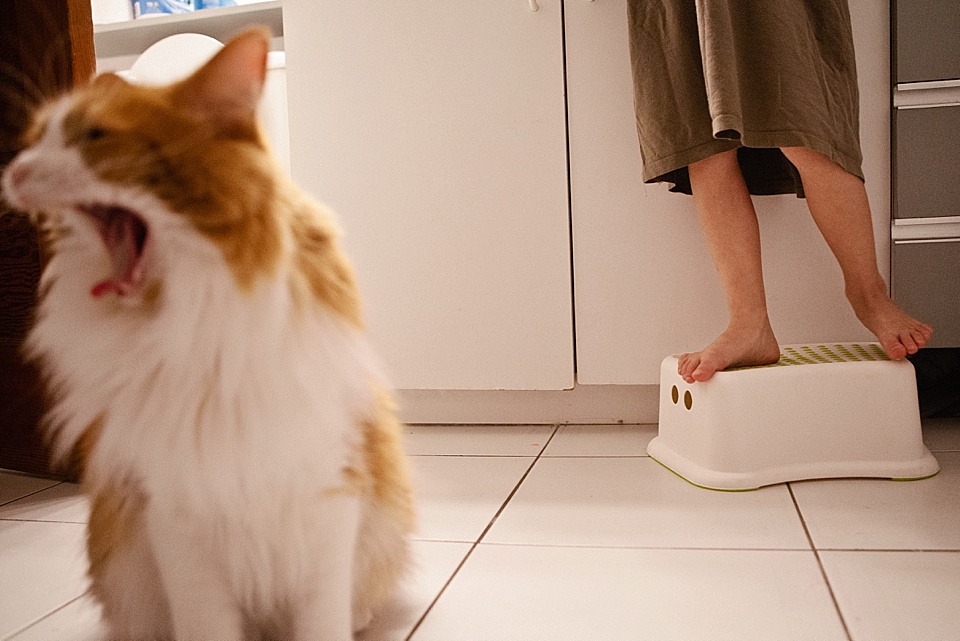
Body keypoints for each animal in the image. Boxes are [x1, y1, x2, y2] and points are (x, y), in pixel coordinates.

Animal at [3, 27, 416, 636]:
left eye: (95, 136)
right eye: (33, 139)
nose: (11, 171)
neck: (192, 328)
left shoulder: (328, 494)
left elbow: (321, 618)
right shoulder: (177, 514)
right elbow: (207, 622)